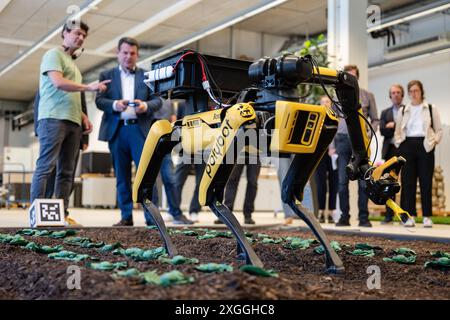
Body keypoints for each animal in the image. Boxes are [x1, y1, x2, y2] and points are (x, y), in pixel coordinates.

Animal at [132, 51, 410, 274]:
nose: (387, 188)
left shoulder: (325, 127)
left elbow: (291, 193)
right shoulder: (240, 117)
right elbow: (211, 196)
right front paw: (254, 261)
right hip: (173, 130)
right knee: (151, 161)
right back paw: (170, 247)